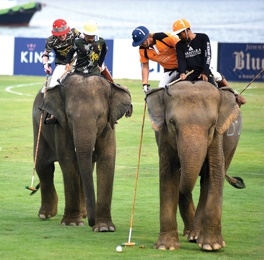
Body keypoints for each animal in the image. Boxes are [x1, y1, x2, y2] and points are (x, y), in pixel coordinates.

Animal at [32, 73, 132, 232]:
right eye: (69, 116)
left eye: (100, 116)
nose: (92, 222)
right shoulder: (62, 126)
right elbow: (67, 159)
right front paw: (72, 223)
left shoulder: (108, 126)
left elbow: (107, 159)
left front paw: (105, 228)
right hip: (38, 124)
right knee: (43, 165)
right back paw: (46, 214)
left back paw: (83, 214)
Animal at [145, 82, 242, 252]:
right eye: (172, 122)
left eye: (212, 125)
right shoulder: (164, 137)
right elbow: (168, 176)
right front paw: (166, 247)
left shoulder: (217, 136)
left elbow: (215, 172)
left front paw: (212, 246)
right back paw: (190, 234)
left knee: (207, 182)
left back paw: (196, 236)